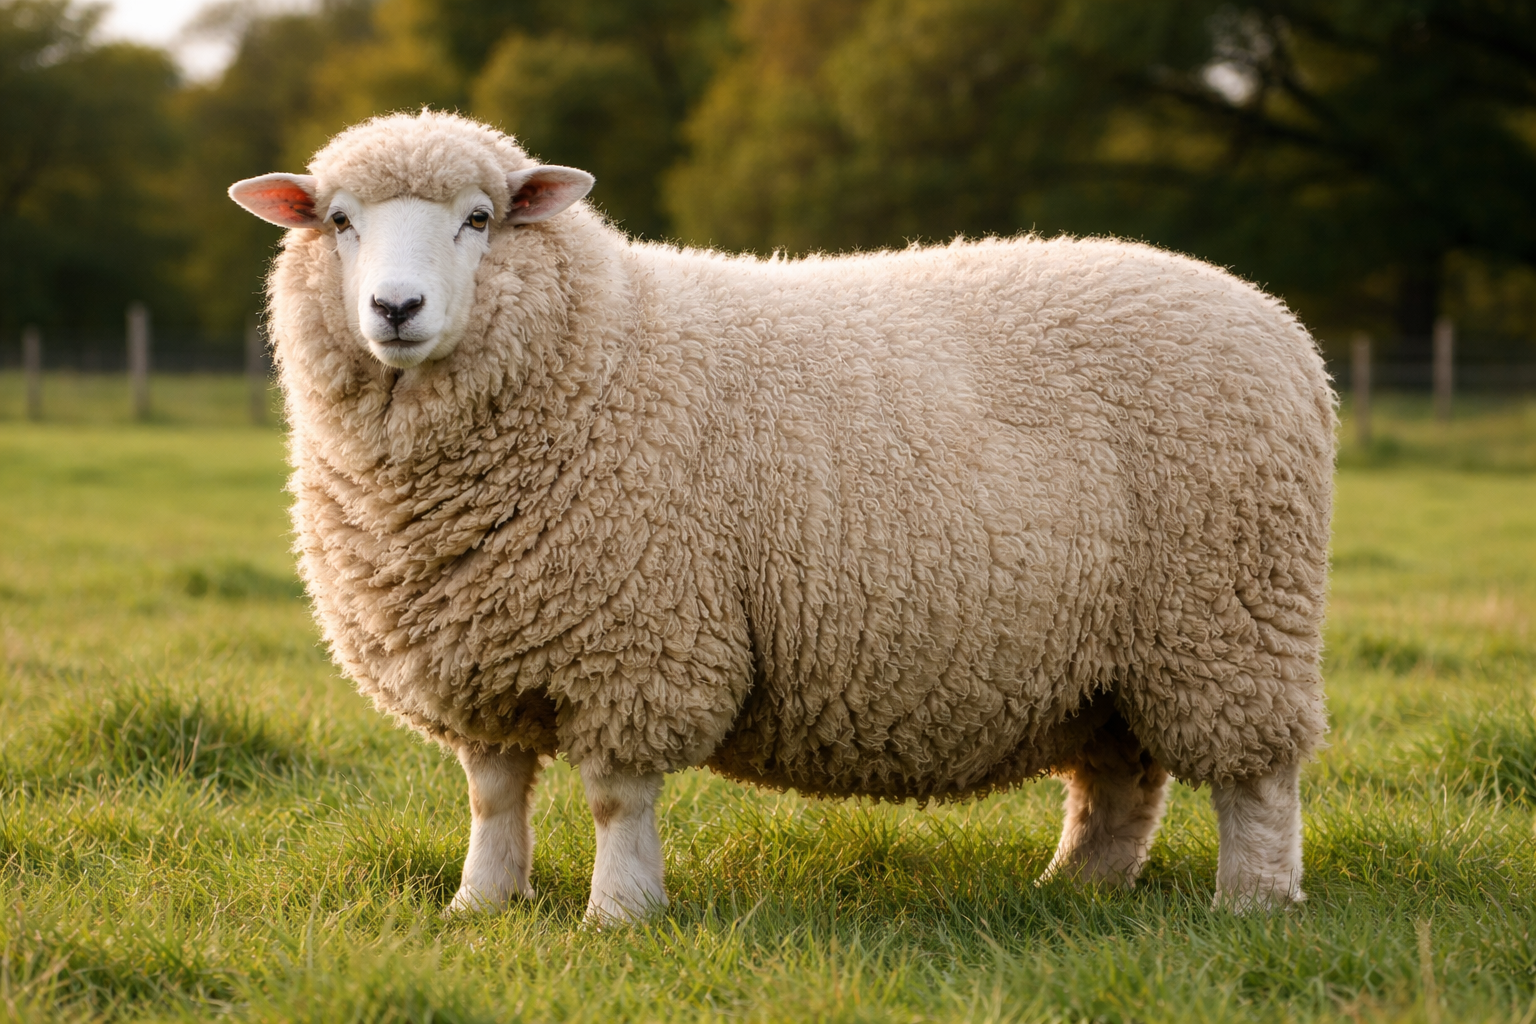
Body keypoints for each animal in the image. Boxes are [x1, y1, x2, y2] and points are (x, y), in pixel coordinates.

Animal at [229, 110, 1335, 924]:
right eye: (338, 220)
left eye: (479, 218)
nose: (397, 309)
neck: (597, 347)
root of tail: (1284, 327)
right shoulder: (482, 651)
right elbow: (493, 796)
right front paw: (481, 906)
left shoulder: (643, 639)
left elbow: (615, 797)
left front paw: (619, 913)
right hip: (1109, 654)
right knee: (1118, 783)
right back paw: (1075, 889)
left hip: (1230, 617)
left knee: (1258, 782)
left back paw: (1253, 902)